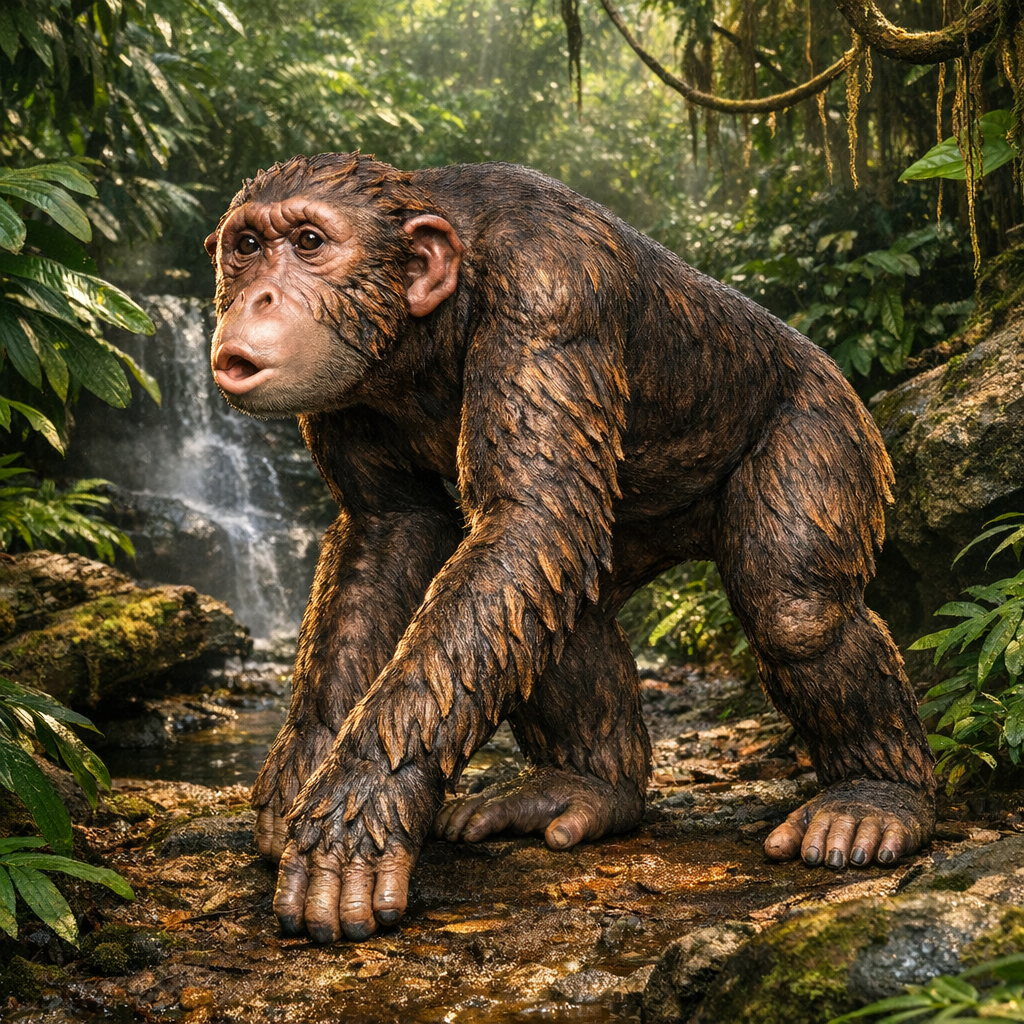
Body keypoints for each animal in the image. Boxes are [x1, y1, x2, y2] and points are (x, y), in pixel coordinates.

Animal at [204, 153, 936, 945]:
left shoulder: (552, 296)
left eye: (310, 241)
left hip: (825, 424)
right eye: (247, 247)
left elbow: (527, 520)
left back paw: (872, 799)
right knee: (555, 604)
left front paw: (357, 805)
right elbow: (390, 528)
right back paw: (584, 788)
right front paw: (303, 769)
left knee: (797, 612)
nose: (258, 294)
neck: (426, 322)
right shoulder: (346, 395)